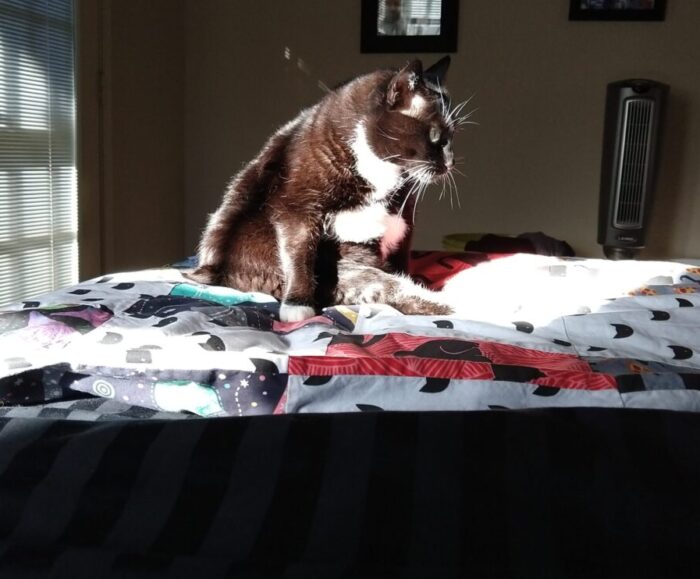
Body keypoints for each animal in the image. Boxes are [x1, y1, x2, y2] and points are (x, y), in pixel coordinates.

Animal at [191, 56, 464, 322]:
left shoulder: (403, 220)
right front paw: (297, 305)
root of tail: (211, 271)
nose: (451, 162)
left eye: (453, 137)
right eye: (436, 137)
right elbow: (299, 252)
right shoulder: (297, 204)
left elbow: (400, 255)